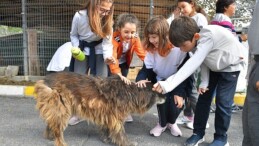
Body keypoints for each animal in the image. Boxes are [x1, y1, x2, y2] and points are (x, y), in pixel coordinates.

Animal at [34, 71, 167, 145]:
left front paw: (106, 139)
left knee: (51, 123)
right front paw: (127, 143)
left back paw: (49, 136)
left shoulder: (107, 114)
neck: (131, 92)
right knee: (58, 130)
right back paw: (60, 142)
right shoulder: (115, 117)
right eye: (158, 90)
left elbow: (106, 129)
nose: (166, 96)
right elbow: (120, 132)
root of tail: (44, 79)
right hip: (61, 108)